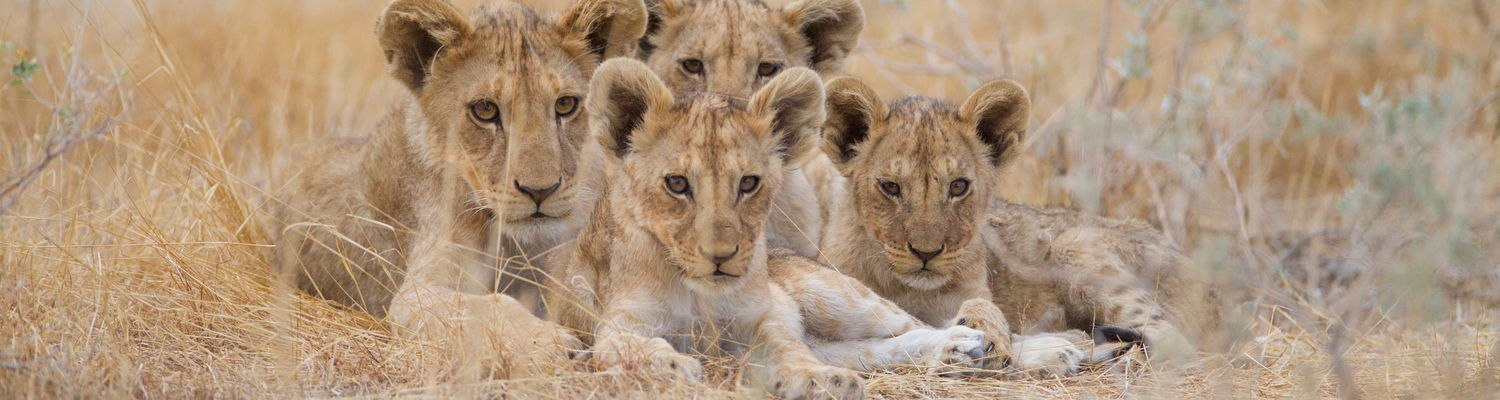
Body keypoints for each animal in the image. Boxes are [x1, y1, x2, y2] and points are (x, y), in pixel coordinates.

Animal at [271, 0, 647, 371]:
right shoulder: (416, 294)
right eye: (485, 109)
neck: (519, 247)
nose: (539, 191)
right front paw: (551, 343)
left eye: (566, 104)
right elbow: (490, 306)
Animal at [815, 77, 1211, 376]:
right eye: (890, 187)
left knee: (1172, 339)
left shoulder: (969, 291)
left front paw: (988, 337)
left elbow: (982, 309)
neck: (908, 287)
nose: (926, 253)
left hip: (1077, 246)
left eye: (958, 186)